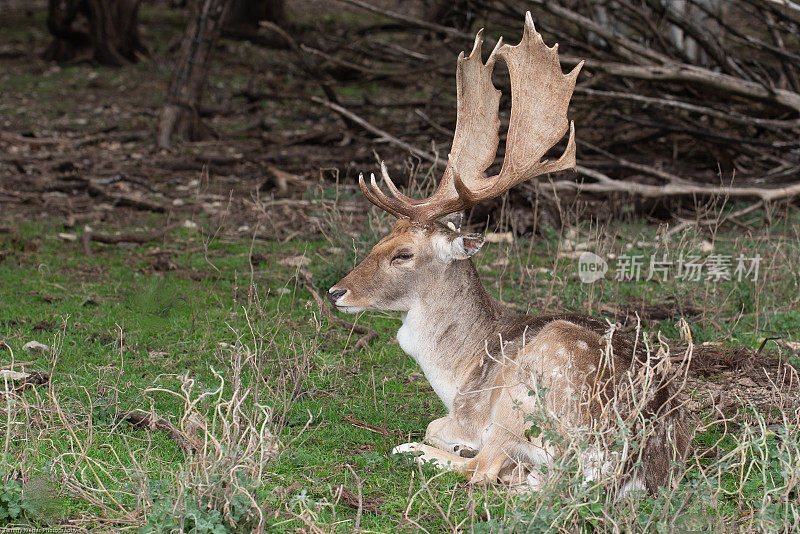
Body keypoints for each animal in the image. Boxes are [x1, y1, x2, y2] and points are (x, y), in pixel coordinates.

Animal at [328, 12, 692, 492]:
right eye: (379, 241)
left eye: (402, 254)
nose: (335, 292)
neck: (459, 370)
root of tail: (623, 460)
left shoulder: (471, 410)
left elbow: (437, 427)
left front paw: (444, 444)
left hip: (525, 393)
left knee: (482, 470)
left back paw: (422, 451)